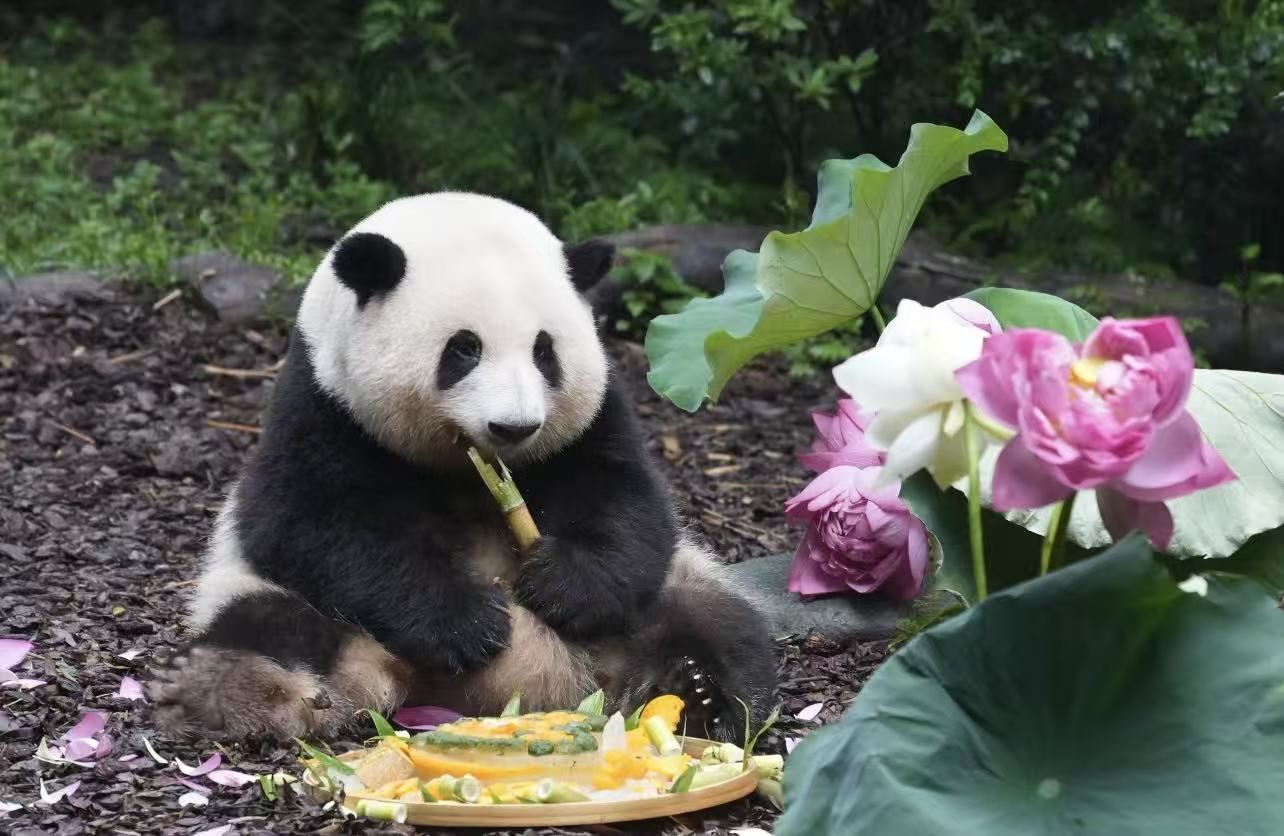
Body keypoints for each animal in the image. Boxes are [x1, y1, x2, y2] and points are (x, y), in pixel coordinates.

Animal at [150, 192, 777, 742]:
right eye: (464, 348)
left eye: (545, 351)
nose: (514, 427)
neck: (465, 467)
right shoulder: (322, 403)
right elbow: (306, 520)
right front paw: (468, 625)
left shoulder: (595, 416)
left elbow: (626, 500)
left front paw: (562, 588)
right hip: (274, 598)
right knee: (268, 626)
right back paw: (265, 695)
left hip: (672, 591)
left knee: (714, 621)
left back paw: (697, 695)